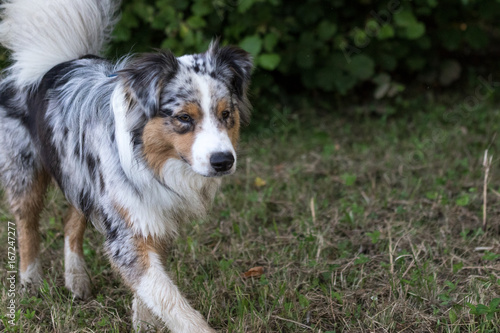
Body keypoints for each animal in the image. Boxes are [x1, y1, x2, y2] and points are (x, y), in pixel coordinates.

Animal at [0, 1, 250, 330]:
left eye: (226, 114)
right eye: (184, 117)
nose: (223, 161)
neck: (150, 161)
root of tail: (54, 63)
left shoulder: (153, 217)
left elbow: (154, 293)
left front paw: (144, 323)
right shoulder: (127, 228)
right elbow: (172, 301)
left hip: (81, 176)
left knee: (70, 221)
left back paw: (76, 279)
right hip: (25, 170)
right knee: (27, 222)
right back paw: (31, 282)